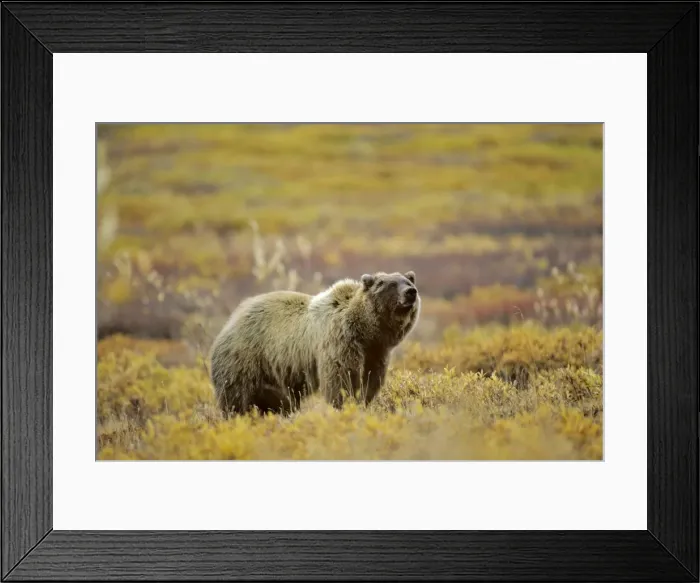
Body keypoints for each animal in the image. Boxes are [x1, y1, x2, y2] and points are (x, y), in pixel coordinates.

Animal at [209, 270, 420, 416]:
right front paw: (345, 405)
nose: (411, 291)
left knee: (279, 399)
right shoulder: (340, 341)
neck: (365, 330)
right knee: (237, 395)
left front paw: (364, 401)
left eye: (408, 281)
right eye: (391, 284)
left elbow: (371, 379)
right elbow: (340, 378)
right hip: (246, 358)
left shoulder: (375, 351)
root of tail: (231, 320)